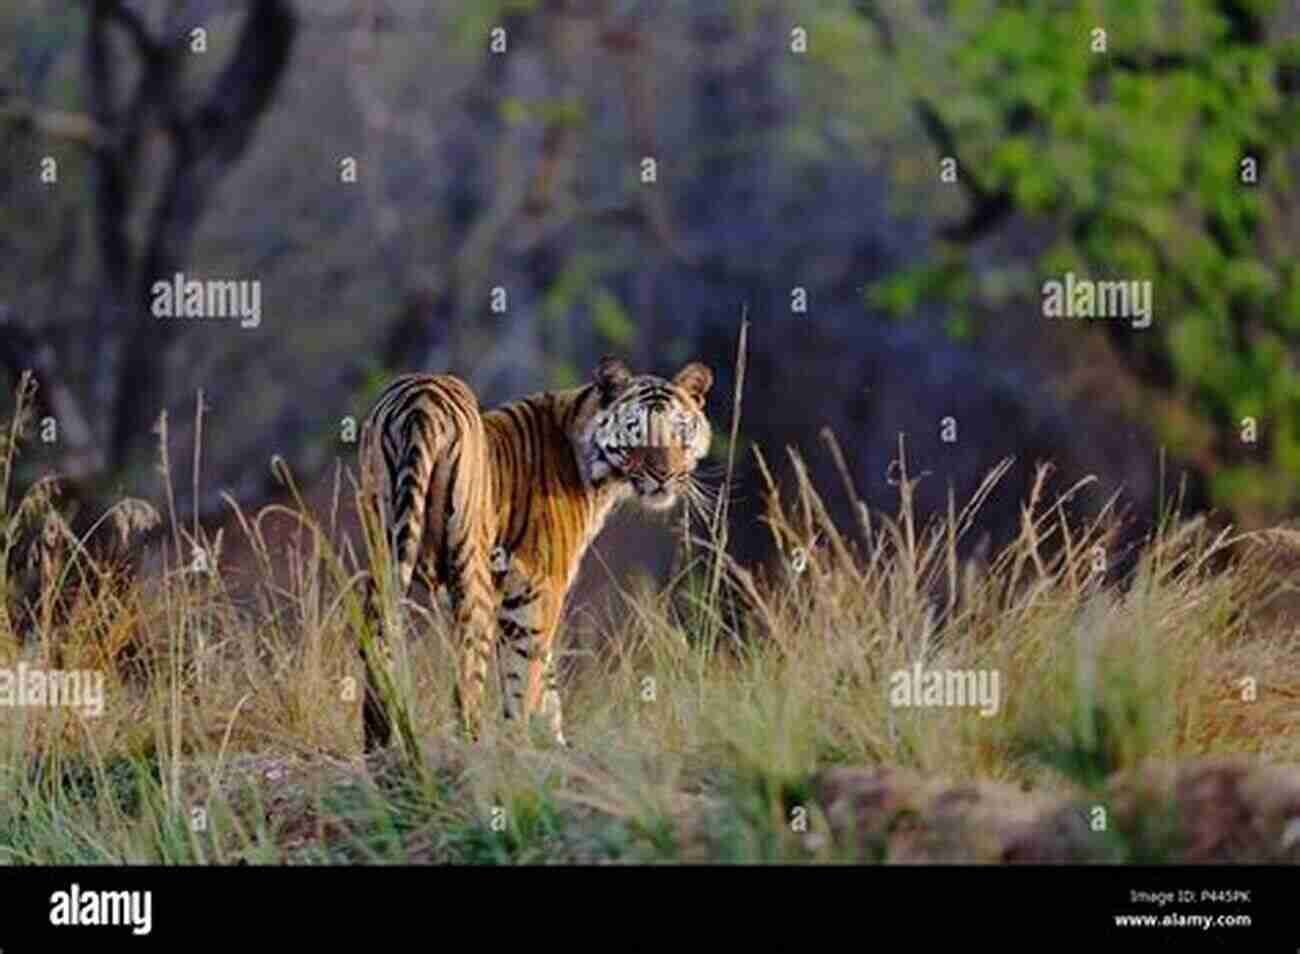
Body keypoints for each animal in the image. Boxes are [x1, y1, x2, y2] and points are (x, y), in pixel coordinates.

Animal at [358, 356, 712, 748]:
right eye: (637, 433)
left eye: (679, 432)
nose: (664, 475)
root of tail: (422, 397)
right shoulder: (537, 588)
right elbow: (525, 677)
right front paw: (521, 744)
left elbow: (547, 682)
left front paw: (551, 742)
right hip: (471, 573)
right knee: (468, 676)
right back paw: (471, 746)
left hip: (383, 552)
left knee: (376, 645)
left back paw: (378, 746)